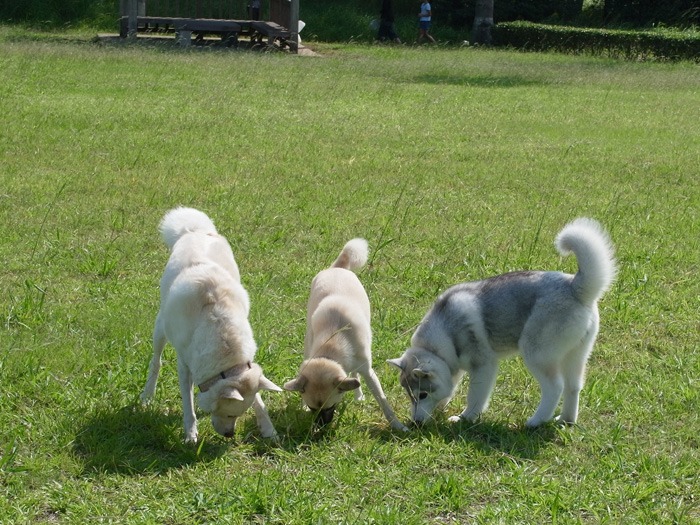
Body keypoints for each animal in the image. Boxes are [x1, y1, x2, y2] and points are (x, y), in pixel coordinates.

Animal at [139, 207, 282, 440]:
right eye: (228, 414)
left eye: (237, 415)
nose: (229, 435)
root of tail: (195, 230)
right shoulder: (185, 365)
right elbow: (188, 402)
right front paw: (190, 433)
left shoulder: (248, 366)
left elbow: (258, 398)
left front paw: (268, 428)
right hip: (160, 328)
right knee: (155, 362)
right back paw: (147, 395)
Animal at [284, 237, 408, 430]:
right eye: (313, 409)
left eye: (330, 407)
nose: (320, 429)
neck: (330, 349)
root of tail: (338, 267)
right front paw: (302, 404)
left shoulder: (369, 372)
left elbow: (383, 401)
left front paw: (397, 425)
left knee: (355, 375)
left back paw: (358, 395)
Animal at [388, 217, 616, 426]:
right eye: (410, 396)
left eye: (422, 395)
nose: (416, 422)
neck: (443, 332)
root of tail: (574, 286)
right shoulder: (453, 365)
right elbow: (450, 386)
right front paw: (442, 406)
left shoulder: (484, 366)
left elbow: (475, 397)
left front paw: (465, 418)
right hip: (575, 355)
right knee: (573, 386)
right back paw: (566, 420)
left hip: (536, 353)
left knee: (555, 387)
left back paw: (536, 421)